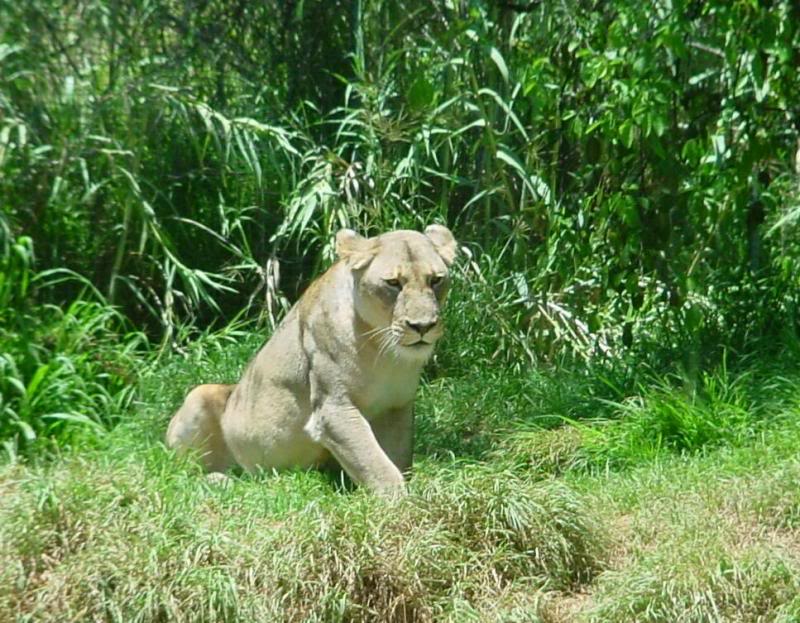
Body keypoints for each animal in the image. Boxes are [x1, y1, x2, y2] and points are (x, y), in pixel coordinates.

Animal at [166, 225, 457, 494]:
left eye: (435, 280)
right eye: (393, 283)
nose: (423, 326)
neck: (384, 354)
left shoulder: (397, 407)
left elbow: (397, 458)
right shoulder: (334, 408)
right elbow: (375, 462)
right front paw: (404, 502)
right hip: (200, 395)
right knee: (179, 475)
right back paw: (219, 480)